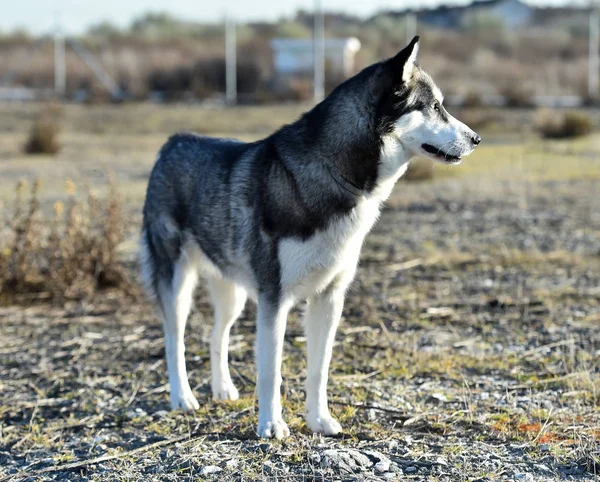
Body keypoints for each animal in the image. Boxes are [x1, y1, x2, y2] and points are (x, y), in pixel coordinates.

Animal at [141, 35, 478, 438]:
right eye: (435, 107)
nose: (476, 139)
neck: (335, 172)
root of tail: (172, 143)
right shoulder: (274, 299)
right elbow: (271, 370)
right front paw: (271, 425)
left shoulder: (329, 297)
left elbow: (319, 369)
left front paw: (319, 420)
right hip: (177, 282)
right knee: (173, 339)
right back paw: (182, 397)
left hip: (233, 292)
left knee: (215, 334)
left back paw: (223, 389)